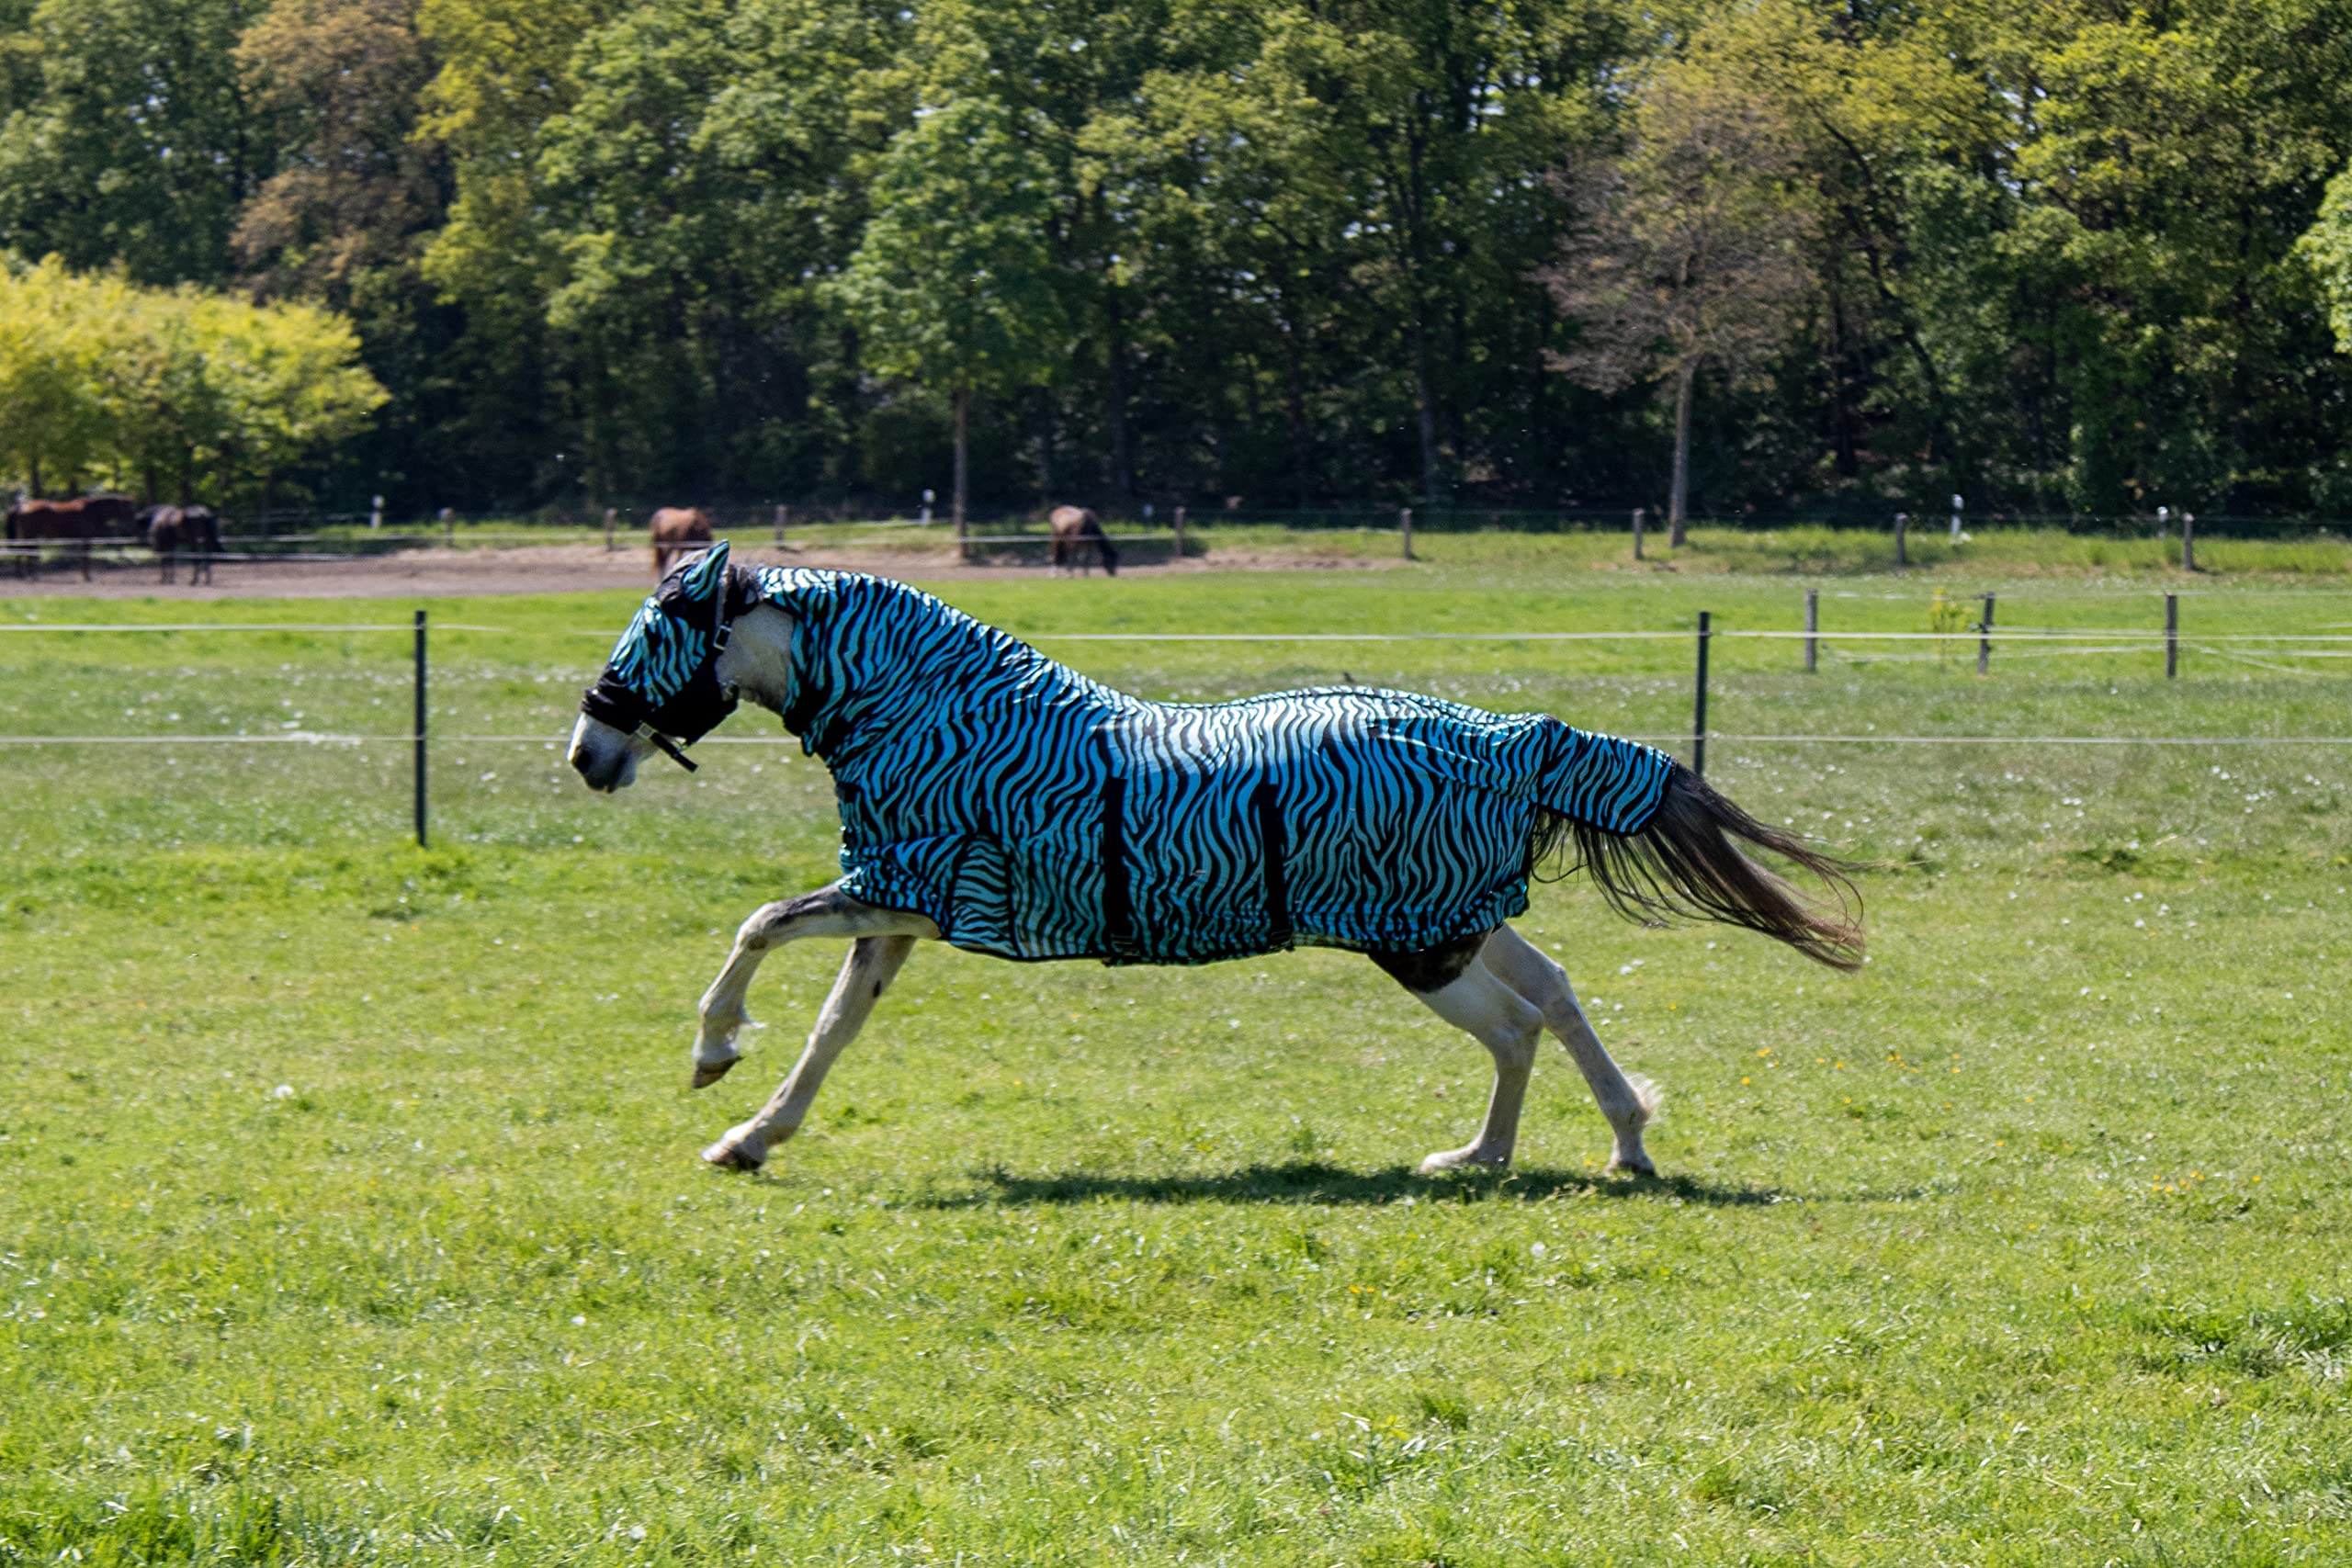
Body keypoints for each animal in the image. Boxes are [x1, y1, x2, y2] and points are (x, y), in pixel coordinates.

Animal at [567, 543, 1864, 1178]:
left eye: (652, 630)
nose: (588, 754)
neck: (938, 717)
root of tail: (1503, 735)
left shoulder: (909, 895)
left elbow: (757, 929)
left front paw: (712, 1059)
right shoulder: (896, 912)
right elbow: (833, 1032)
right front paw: (750, 1138)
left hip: (1419, 937)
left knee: (1521, 1015)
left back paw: (1558, 1152)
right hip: (1445, 923)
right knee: (1542, 1002)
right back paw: (1557, 1147)